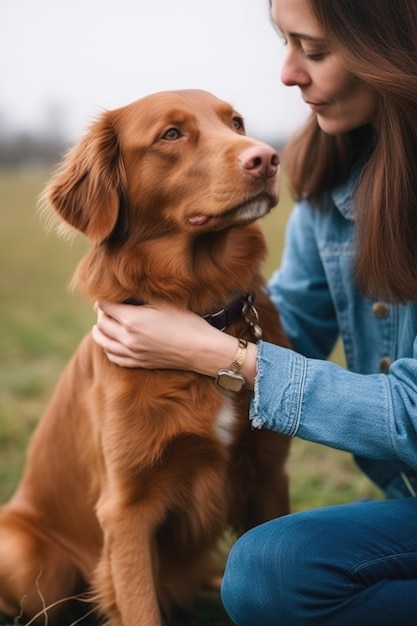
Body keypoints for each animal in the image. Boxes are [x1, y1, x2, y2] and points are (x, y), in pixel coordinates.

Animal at [0, 89, 290, 624]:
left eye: (236, 122)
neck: (202, 310)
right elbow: (138, 604)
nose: (266, 158)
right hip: (31, 562)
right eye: (171, 134)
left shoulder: (266, 476)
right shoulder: (127, 509)